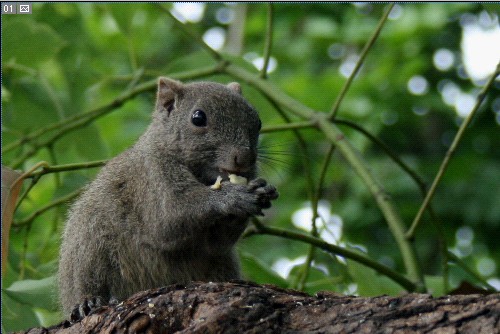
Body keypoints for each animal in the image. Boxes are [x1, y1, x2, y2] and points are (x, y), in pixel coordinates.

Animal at [57, 77, 282, 318]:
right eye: (198, 118)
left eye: (257, 121)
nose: (245, 158)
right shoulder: (150, 180)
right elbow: (169, 218)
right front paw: (234, 196)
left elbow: (217, 243)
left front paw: (261, 190)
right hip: (89, 246)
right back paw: (88, 301)